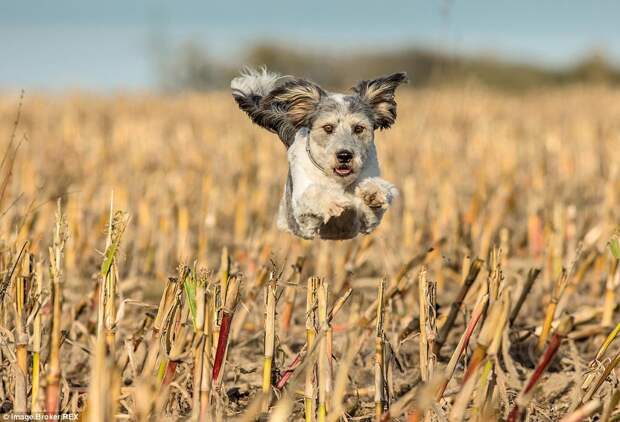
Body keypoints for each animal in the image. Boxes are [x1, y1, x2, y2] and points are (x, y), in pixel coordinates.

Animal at [229, 69, 406, 241]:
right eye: (328, 127)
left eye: (359, 128)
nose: (344, 155)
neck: (338, 181)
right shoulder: (304, 221)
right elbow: (312, 193)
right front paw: (333, 202)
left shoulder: (367, 224)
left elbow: (374, 203)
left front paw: (373, 193)